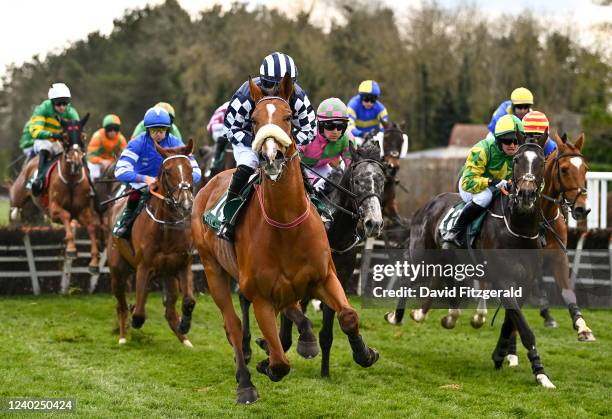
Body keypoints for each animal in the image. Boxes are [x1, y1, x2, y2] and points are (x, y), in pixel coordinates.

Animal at [7, 115, 101, 272]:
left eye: (83, 136)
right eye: (65, 136)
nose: (76, 161)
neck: (71, 181)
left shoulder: (83, 211)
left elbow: (92, 227)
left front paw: (94, 261)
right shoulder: (53, 210)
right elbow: (66, 215)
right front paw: (71, 249)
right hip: (17, 193)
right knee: (14, 206)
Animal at [108, 139, 196, 346]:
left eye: (190, 168)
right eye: (168, 171)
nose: (186, 203)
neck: (166, 230)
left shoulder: (183, 265)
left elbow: (189, 301)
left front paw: (185, 325)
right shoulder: (144, 267)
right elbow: (139, 313)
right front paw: (135, 319)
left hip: (168, 277)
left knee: (170, 311)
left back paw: (185, 340)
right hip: (118, 271)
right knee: (121, 305)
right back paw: (123, 336)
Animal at [194, 74, 380, 404]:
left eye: (288, 116)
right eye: (253, 120)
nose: (271, 156)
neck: (285, 225)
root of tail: (208, 185)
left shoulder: (327, 274)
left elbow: (346, 316)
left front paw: (363, 353)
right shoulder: (262, 295)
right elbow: (281, 360)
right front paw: (268, 359)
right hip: (214, 270)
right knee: (233, 325)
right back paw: (246, 381)